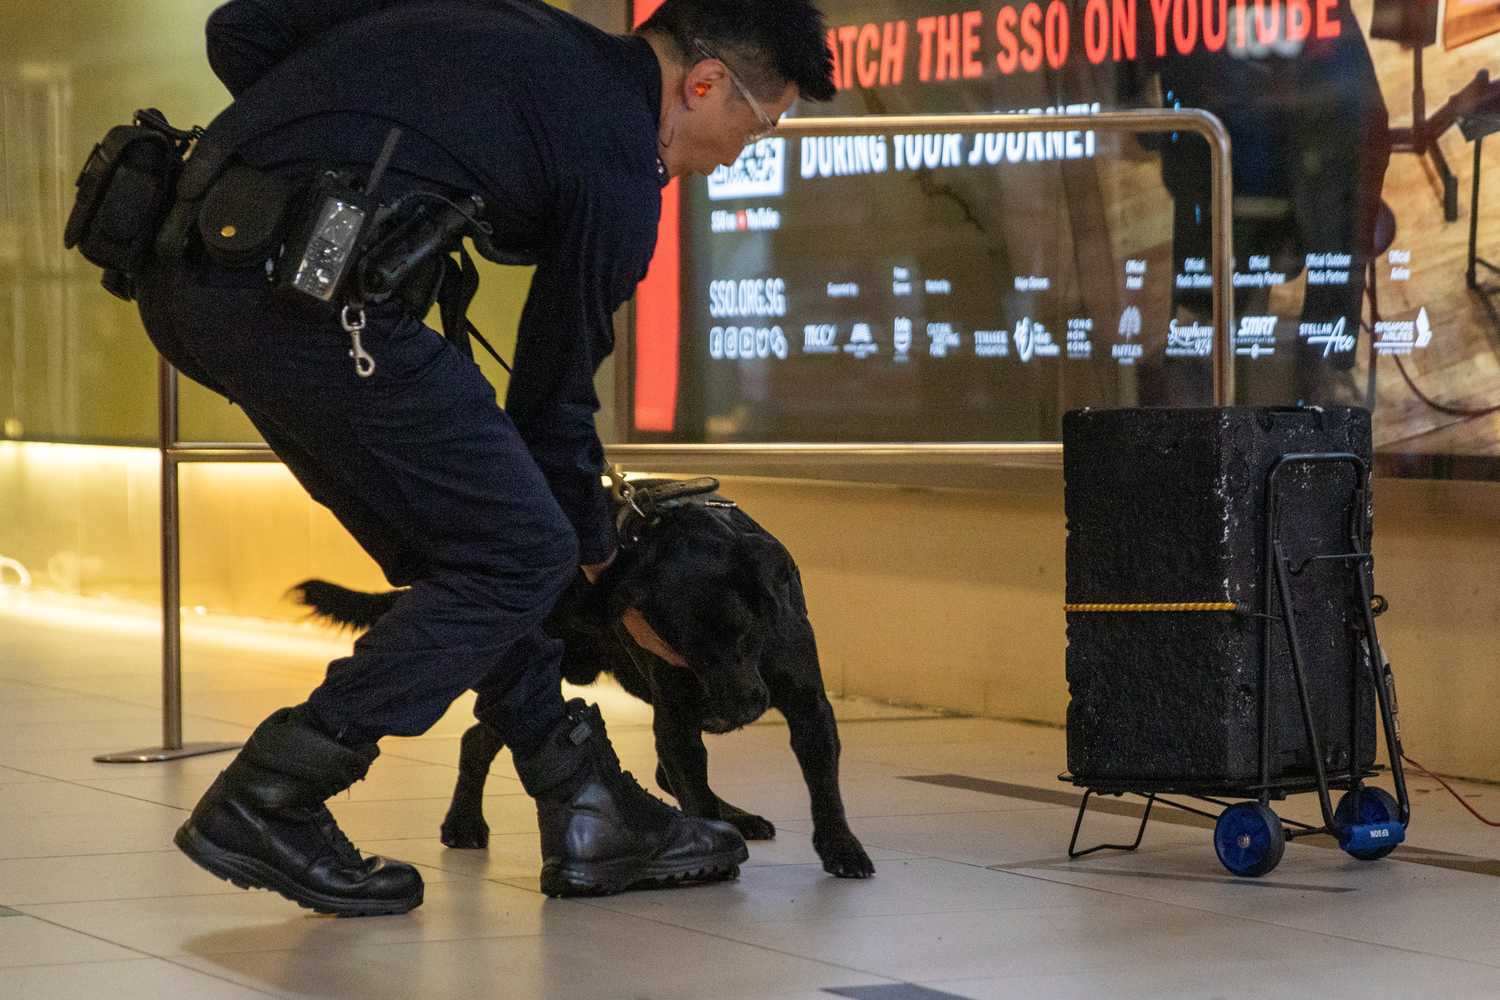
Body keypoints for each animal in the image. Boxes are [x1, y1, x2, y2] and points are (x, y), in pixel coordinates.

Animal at [292, 476, 876, 875]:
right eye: (676, 645)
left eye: (745, 631)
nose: (729, 713)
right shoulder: (677, 715)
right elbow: (692, 782)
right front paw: (713, 843)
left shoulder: (808, 705)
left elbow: (824, 783)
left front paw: (842, 847)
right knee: (477, 736)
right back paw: (463, 823)